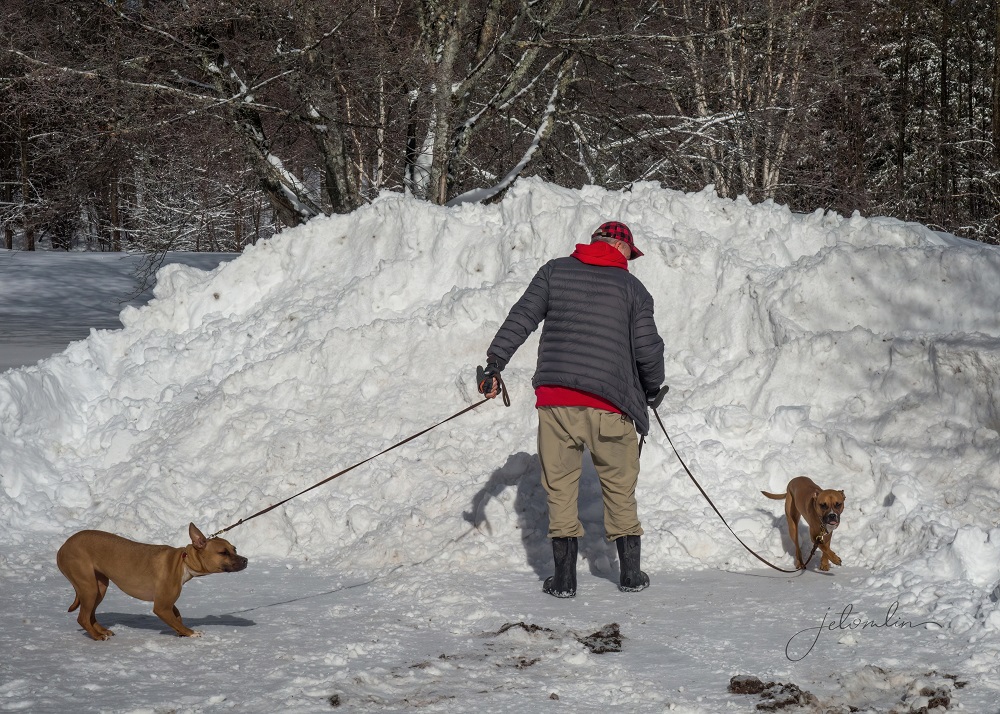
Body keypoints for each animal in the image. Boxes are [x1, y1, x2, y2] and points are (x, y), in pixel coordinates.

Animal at [56, 523, 248, 640]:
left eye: (235, 549)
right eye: (223, 552)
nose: (246, 560)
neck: (183, 562)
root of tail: (63, 546)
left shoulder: (167, 602)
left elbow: (177, 617)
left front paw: (181, 631)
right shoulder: (161, 606)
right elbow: (175, 620)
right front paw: (190, 633)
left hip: (99, 587)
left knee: (90, 615)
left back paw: (101, 630)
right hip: (88, 587)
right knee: (82, 617)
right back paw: (97, 636)